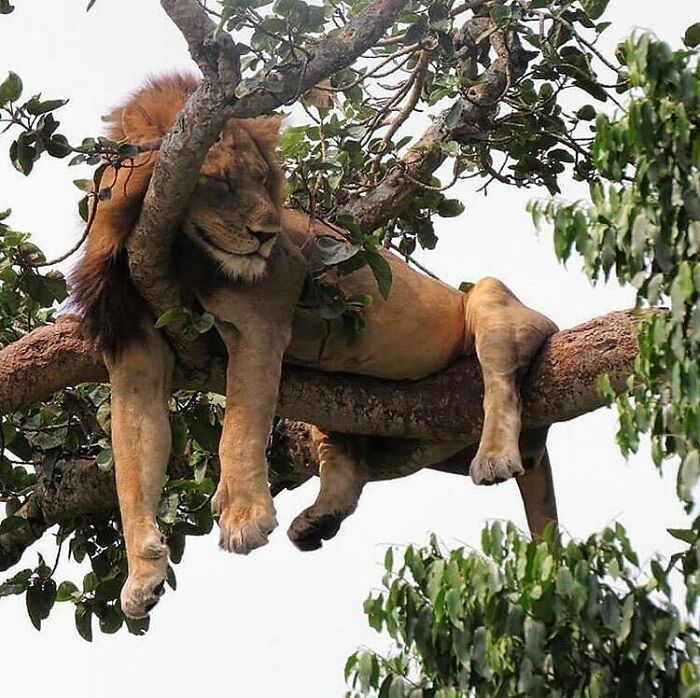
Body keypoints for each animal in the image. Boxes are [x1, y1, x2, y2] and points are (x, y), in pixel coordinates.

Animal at [70, 74, 558, 618]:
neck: (176, 252)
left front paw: (243, 516)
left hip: (492, 302)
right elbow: (132, 464)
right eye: (219, 182)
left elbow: (238, 428)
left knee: (502, 377)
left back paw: (495, 456)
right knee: (349, 460)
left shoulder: (260, 322)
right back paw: (317, 521)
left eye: (262, 179)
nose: (265, 235)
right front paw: (142, 574)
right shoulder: (135, 345)